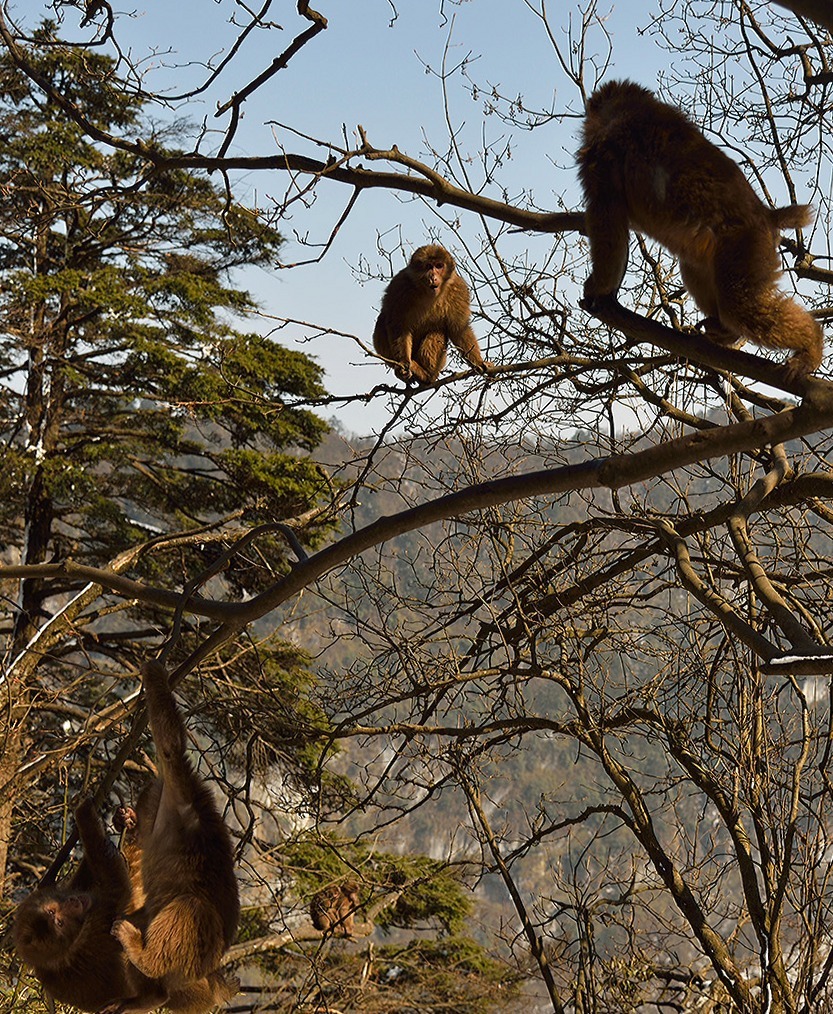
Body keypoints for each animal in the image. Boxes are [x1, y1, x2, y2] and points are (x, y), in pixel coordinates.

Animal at [371, 244, 493, 383]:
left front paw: (479, 362)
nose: (433, 276)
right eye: (428, 266)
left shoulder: (458, 289)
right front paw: (403, 362)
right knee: (382, 320)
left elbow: (458, 328)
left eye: (439, 266)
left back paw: (425, 374)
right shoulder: (399, 286)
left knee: (438, 331)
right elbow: (397, 325)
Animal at [576, 79, 823, 379]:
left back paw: (811, 346)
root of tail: (767, 215)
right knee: (695, 268)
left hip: (746, 246)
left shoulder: (602, 156)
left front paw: (597, 287)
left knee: (743, 307)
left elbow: (608, 225)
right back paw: (726, 332)